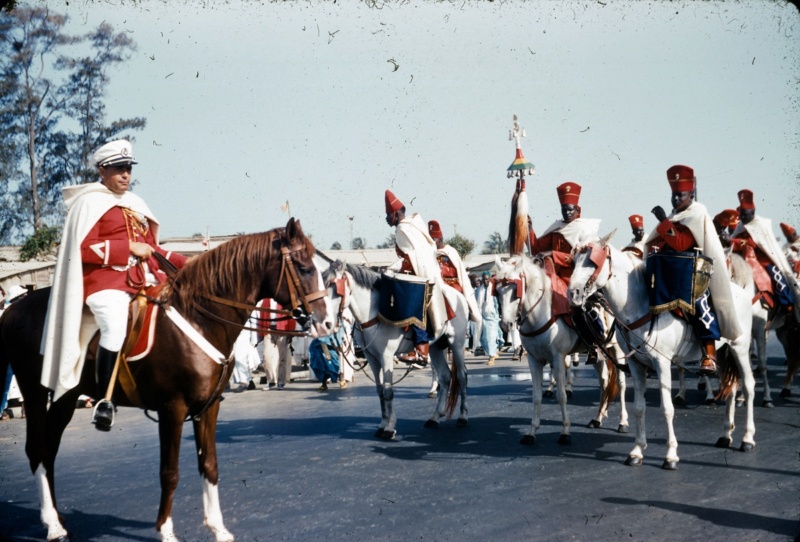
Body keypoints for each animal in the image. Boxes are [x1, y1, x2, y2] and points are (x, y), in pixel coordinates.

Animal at [0, 220, 332, 542]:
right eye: (304, 267)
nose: (327, 322)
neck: (200, 319)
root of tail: (14, 308)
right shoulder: (172, 408)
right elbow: (169, 471)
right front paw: (166, 530)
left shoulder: (208, 407)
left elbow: (209, 465)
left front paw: (218, 528)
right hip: (34, 391)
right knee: (37, 449)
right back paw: (52, 526)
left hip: (65, 396)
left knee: (49, 450)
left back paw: (58, 519)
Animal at [320, 262, 468, 440]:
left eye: (336, 288)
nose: (324, 322)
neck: (373, 314)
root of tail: (459, 296)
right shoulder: (372, 358)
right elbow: (380, 391)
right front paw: (382, 424)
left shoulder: (387, 356)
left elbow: (388, 391)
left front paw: (390, 428)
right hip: (435, 347)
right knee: (445, 377)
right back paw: (435, 417)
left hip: (456, 343)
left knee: (461, 376)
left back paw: (463, 417)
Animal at [494, 255, 624, 446]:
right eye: (497, 291)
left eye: (514, 290)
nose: (506, 325)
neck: (541, 315)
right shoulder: (534, 360)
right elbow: (536, 396)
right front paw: (532, 432)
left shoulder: (558, 358)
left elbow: (561, 395)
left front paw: (565, 432)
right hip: (599, 354)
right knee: (604, 383)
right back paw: (597, 418)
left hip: (618, 352)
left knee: (621, 385)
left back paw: (623, 422)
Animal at [568, 240, 756, 470]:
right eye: (574, 261)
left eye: (593, 263)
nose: (573, 293)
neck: (640, 309)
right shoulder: (635, 365)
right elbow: (639, 408)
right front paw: (637, 451)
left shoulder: (662, 364)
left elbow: (667, 408)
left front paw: (671, 455)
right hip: (722, 353)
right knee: (730, 388)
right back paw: (725, 435)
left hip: (740, 347)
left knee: (748, 386)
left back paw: (747, 439)